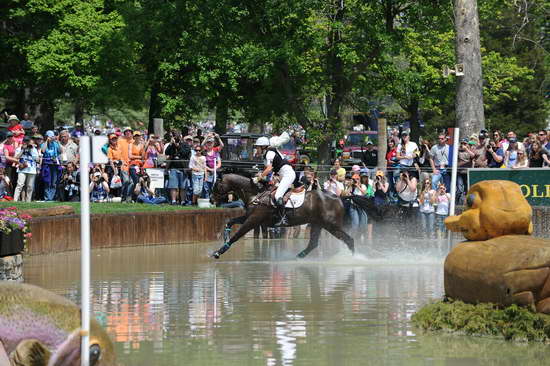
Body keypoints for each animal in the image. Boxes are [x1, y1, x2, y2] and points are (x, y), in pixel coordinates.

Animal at [211, 173, 380, 258]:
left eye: (216, 185)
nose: (211, 199)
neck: (256, 194)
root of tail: (340, 197)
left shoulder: (253, 220)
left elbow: (237, 235)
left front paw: (219, 251)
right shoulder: (250, 218)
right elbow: (230, 221)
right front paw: (224, 235)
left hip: (332, 226)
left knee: (349, 240)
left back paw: (353, 259)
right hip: (318, 224)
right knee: (313, 243)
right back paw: (298, 257)